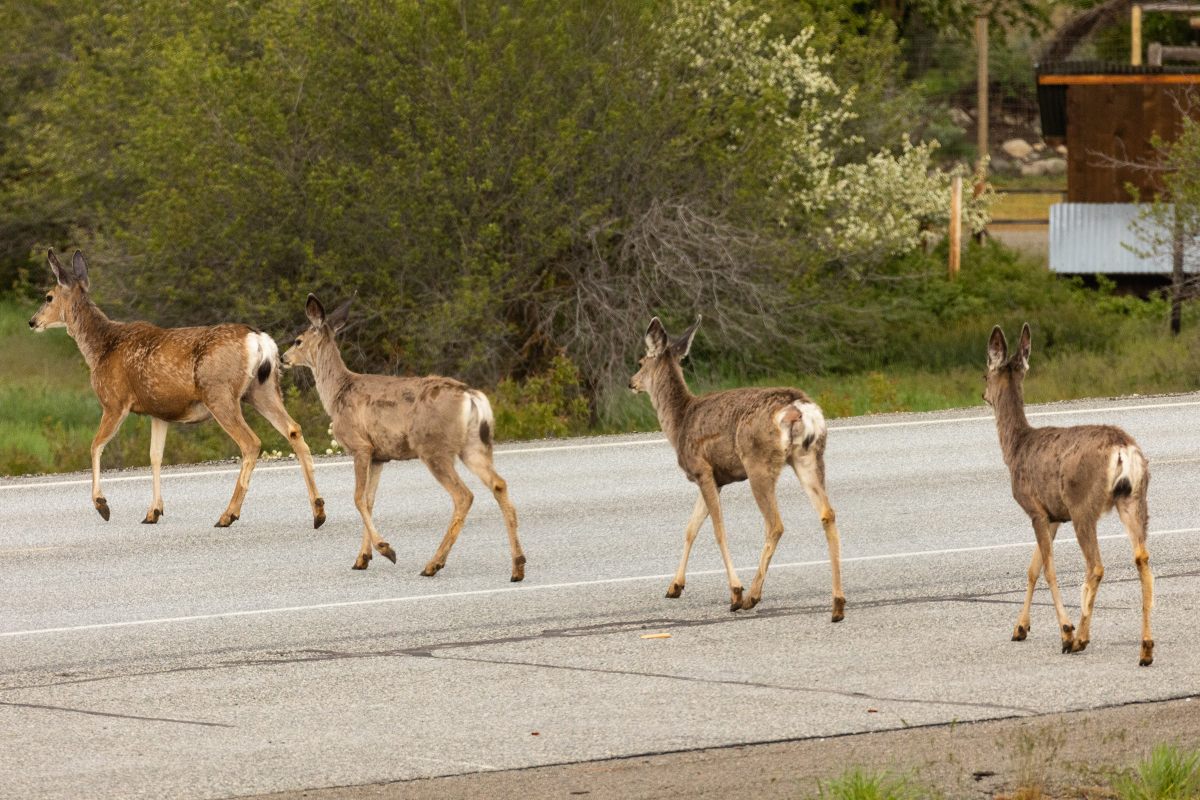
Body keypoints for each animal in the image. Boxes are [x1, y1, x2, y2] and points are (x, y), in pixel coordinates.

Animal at [28, 247, 328, 527]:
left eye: (48, 297)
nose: (32, 321)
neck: (101, 347)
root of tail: (259, 340)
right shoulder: (159, 411)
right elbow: (155, 456)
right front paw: (153, 512)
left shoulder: (114, 401)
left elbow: (95, 445)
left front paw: (102, 505)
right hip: (262, 389)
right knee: (293, 429)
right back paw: (318, 511)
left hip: (219, 393)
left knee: (251, 442)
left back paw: (228, 514)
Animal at [283, 293, 528, 582]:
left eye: (298, 340)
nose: (284, 358)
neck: (338, 393)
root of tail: (472, 397)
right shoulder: (380, 456)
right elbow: (369, 501)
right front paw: (362, 558)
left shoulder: (360, 446)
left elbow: (357, 498)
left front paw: (386, 549)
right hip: (473, 446)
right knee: (499, 484)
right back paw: (517, 567)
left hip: (434, 448)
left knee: (463, 495)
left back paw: (433, 564)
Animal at [628, 316, 844, 618]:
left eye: (640, 361)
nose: (631, 382)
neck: (679, 421)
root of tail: (801, 408)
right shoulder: (715, 479)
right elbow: (690, 528)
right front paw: (674, 586)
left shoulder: (702, 470)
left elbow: (718, 530)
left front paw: (734, 591)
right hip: (809, 456)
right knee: (827, 513)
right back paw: (837, 604)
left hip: (759, 463)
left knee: (775, 524)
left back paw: (752, 595)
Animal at [984, 321, 1152, 666]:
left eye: (984, 375)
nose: (983, 395)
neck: (1016, 447)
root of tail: (1123, 449)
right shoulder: (1053, 516)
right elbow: (1032, 568)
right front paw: (1020, 628)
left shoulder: (1035, 509)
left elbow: (1048, 569)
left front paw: (1065, 630)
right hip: (1134, 498)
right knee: (1142, 558)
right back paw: (1146, 649)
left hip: (1082, 504)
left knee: (1096, 566)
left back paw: (1081, 639)